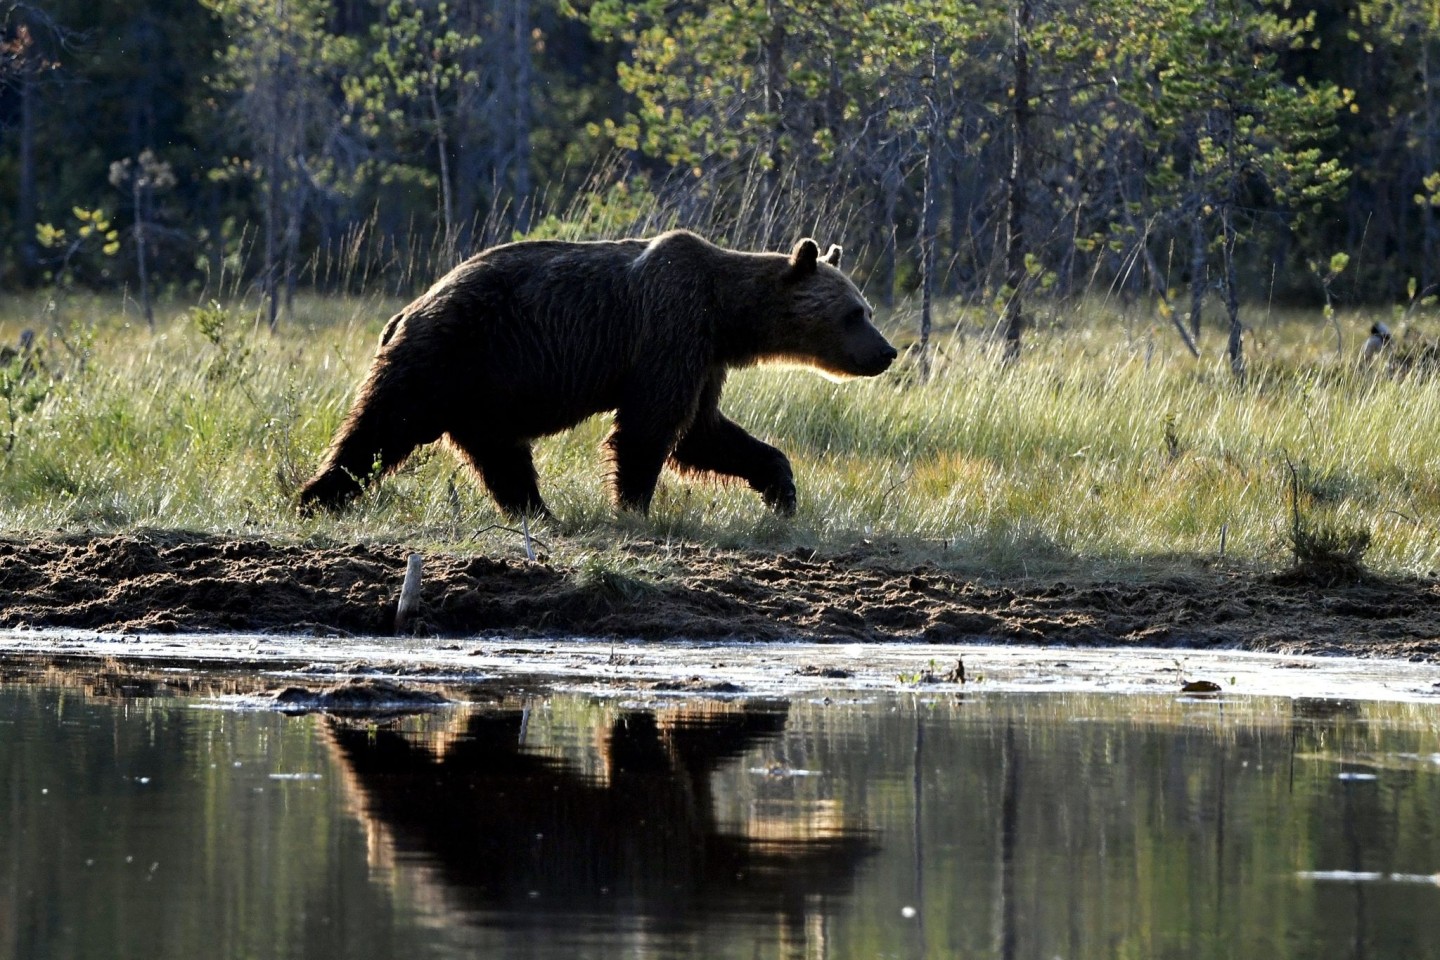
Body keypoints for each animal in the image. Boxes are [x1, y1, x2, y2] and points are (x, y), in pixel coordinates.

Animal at [298, 228, 892, 518]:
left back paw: (539, 512)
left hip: (482, 391)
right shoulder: (668, 328)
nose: (885, 352)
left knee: (501, 454)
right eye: (854, 313)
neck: (726, 314)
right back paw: (316, 496)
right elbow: (652, 427)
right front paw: (633, 505)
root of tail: (404, 310)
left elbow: (704, 431)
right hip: (449, 354)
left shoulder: (702, 356)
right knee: (380, 426)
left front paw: (781, 490)